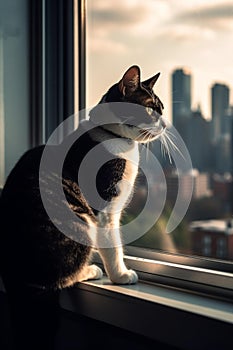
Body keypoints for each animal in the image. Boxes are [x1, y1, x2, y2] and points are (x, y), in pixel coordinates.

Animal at [0, 65, 166, 348]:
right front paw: (121, 275)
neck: (114, 137)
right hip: (80, 222)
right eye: (150, 109)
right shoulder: (107, 206)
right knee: (61, 278)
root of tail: (16, 270)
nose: (165, 123)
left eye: (162, 109)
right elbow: (113, 245)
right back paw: (90, 270)